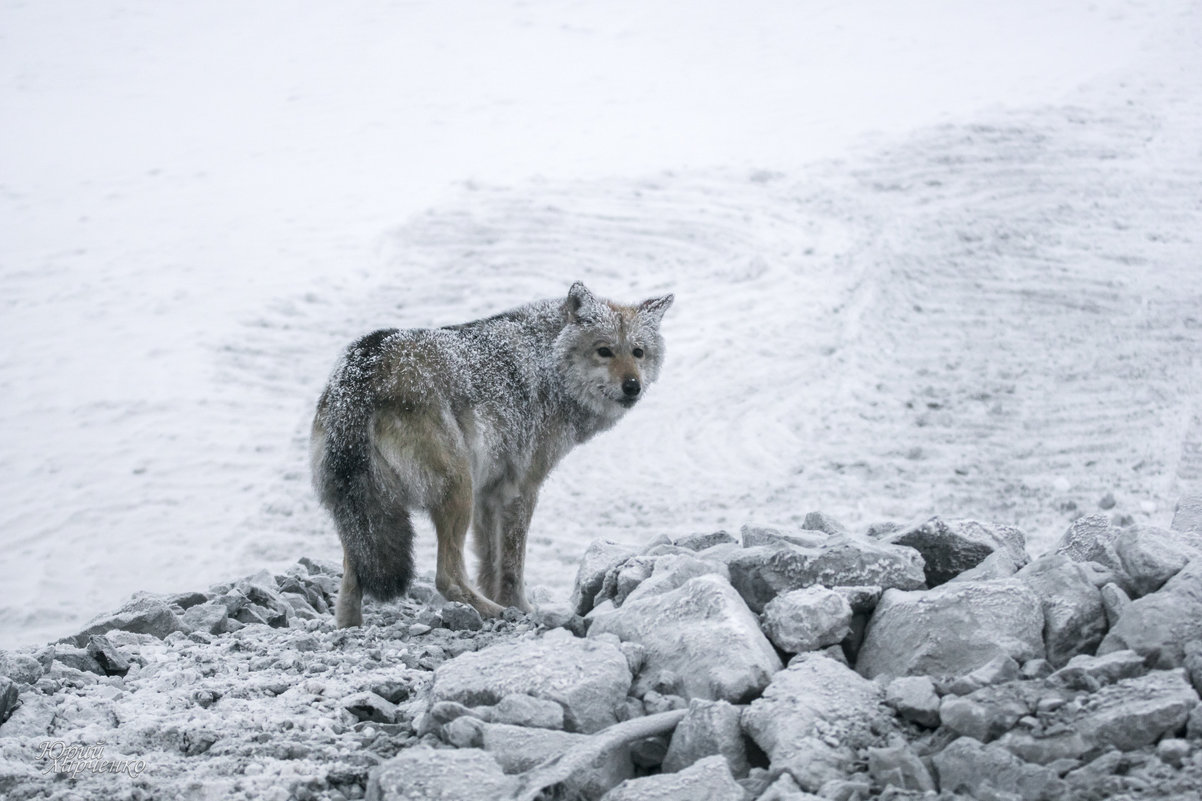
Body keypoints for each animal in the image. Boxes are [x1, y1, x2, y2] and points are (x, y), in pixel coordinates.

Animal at [310, 280, 673, 625]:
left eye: (638, 352)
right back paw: (495, 613)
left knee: (351, 583)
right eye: (604, 351)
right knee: (447, 578)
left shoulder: (489, 492)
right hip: (457, 492)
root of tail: (363, 371)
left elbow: (489, 562)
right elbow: (512, 564)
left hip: (369, 513)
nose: (632, 386)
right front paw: (518, 608)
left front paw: (502, 598)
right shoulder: (521, 489)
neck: (549, 363)